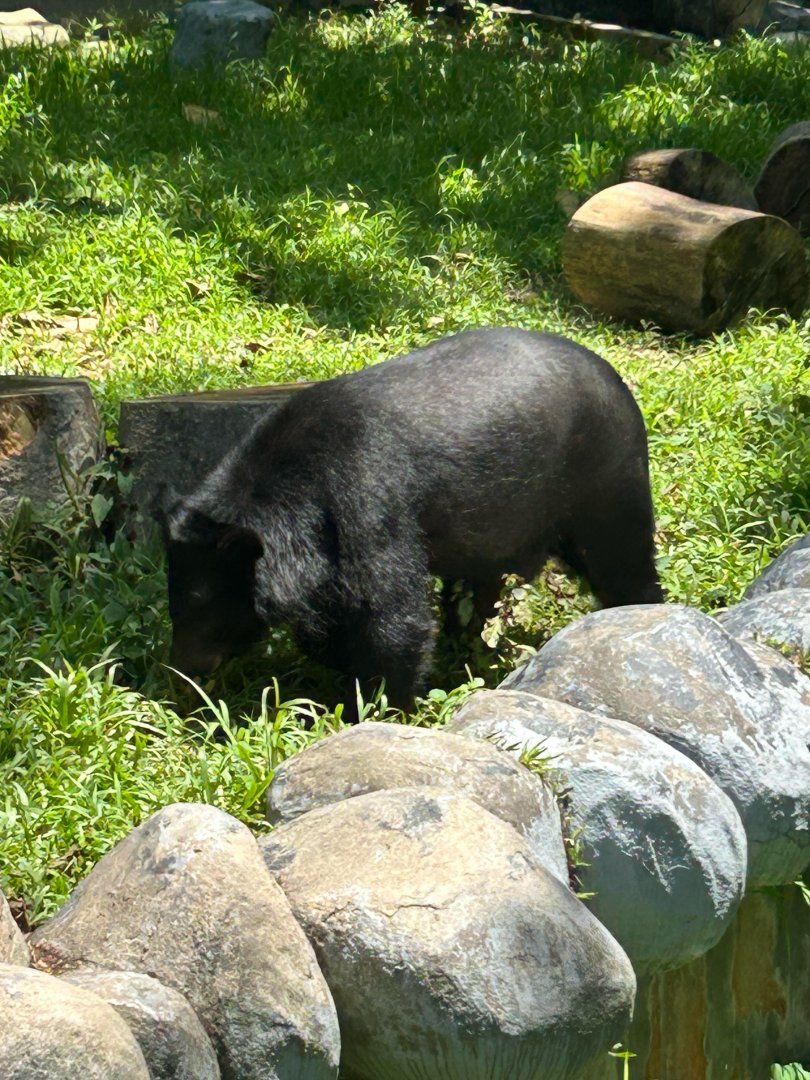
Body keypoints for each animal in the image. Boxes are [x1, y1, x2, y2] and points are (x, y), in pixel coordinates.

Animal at [160, 327, 664, 710]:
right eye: (174, 603)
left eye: (205, 605)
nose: (181, 675)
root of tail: (618, 382)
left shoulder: (369, 498)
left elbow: (391, 613)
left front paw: (379, 704)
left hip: (604, 479)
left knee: (621, 560)